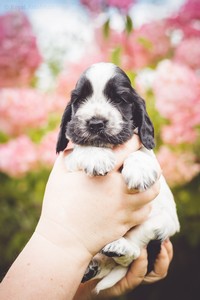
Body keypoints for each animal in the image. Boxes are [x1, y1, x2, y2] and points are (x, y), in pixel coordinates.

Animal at [55, 62, 180, 294]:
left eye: (120, 99)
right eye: (79, 100)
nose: (96, 123)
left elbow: (142, 151)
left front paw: (139, 169)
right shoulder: (68, 161)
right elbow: (80, 149)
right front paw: (96, 155)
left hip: (162, 223)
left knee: (134, 252)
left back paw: (119, 248)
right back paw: (92, 267)